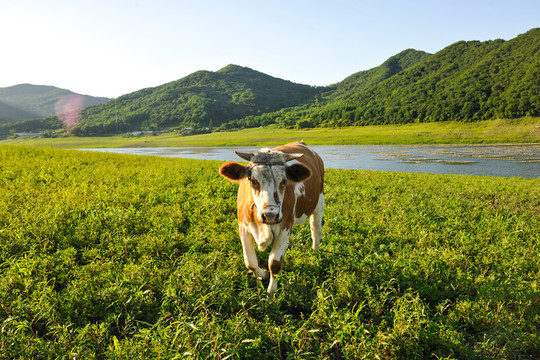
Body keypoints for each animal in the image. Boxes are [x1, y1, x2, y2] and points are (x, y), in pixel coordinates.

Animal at [217, 141, 322, 292]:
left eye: (284, 181)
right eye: (253, 180)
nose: (270, 215)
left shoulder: (285, 227)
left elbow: (274, 263)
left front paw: (271, 292)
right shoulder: (243, 227)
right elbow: (250, 263)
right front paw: (263, 275)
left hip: (319, 200)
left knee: (316, 229)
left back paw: (315, 253)